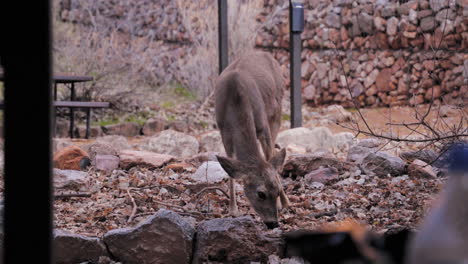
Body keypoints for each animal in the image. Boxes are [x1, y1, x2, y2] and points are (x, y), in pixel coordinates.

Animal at [215, 50, 288, 229]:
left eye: (276, 190)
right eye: (260, 193)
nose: (273, 223)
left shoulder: (263, 126)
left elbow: (270, 159)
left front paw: (282, 203)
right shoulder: (224, 133)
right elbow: (231, 172)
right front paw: (233, 210)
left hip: (277, 111)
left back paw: (286, 203)